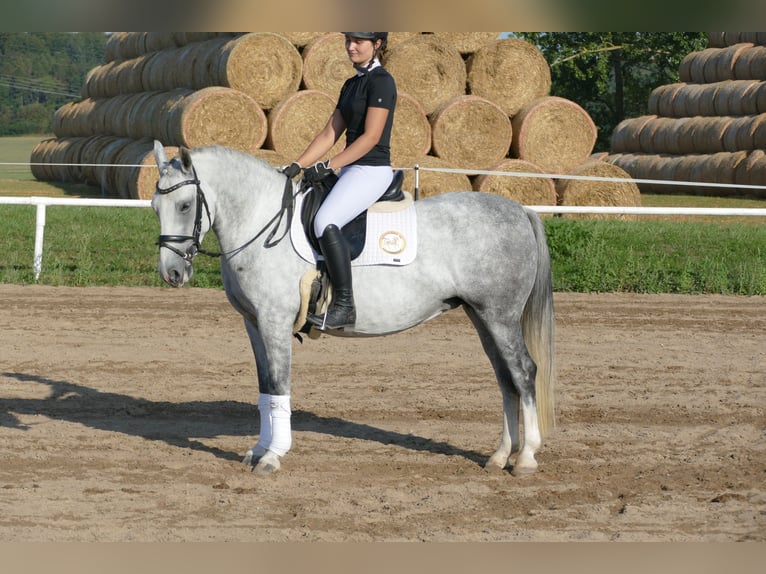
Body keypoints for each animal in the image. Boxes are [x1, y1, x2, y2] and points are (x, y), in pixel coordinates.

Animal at [152, 142, 560, 480]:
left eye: (185, 205)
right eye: (156, 207)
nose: (172, 273)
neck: (261, 221)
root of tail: (520, 210)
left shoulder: (274, 321)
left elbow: (280, 385)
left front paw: (273, 456)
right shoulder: (253, 323)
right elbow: (266, 387)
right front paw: (257, 449)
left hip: (500, 317)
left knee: (523, 373)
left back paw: (525, 459)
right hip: (482, 316)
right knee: (505, 378)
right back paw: (500, 455)